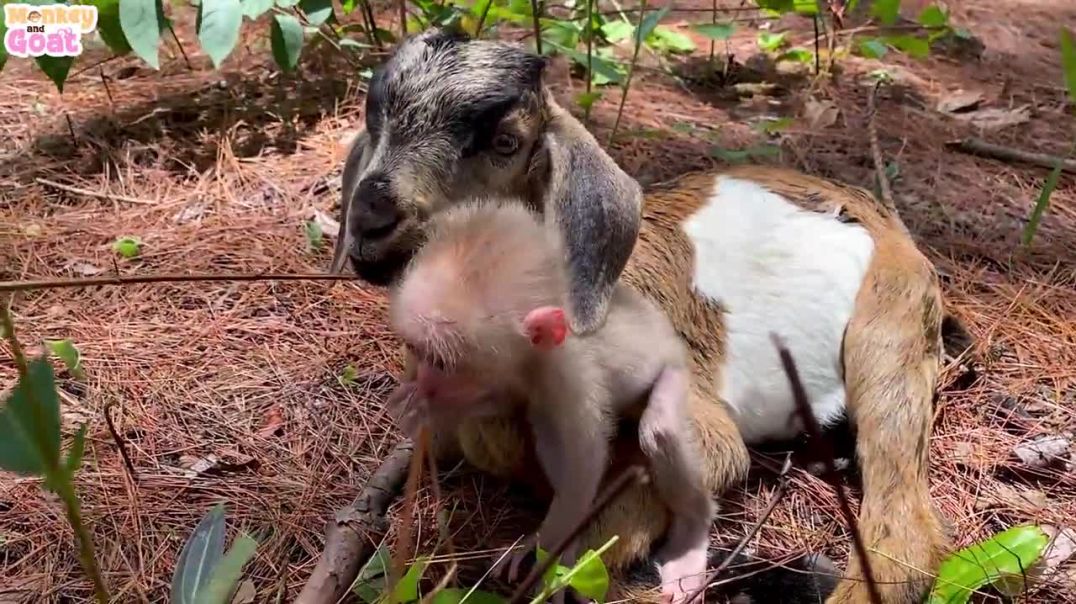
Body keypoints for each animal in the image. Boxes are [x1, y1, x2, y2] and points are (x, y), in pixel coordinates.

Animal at [384, 199, 713, 604]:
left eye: (443, 362)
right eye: (417, 350)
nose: (424, 381)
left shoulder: (565, 372)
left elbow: (582, 465)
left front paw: (549, 558)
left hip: (674, 368)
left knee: (658, 430)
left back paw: (691, 532)